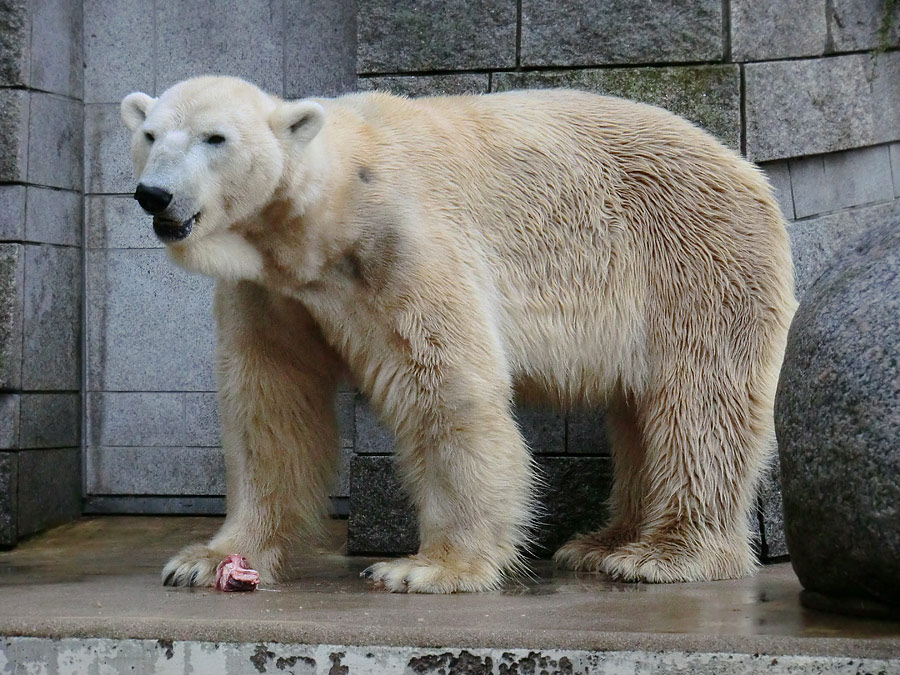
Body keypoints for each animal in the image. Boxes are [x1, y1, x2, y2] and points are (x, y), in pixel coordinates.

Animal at [119, 75, 796, 592]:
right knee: (641, 411)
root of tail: (751, 174)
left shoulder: (402, 245)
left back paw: (663, 555)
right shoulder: (272, 291)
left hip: (693, 260)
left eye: (215, 138)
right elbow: (270, 404)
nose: (155, 195)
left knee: (699, 402)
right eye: (149, 135)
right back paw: (602, 543)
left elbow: (444, 388)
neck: (330, 213)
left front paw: (428, 568)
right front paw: (207, 559)